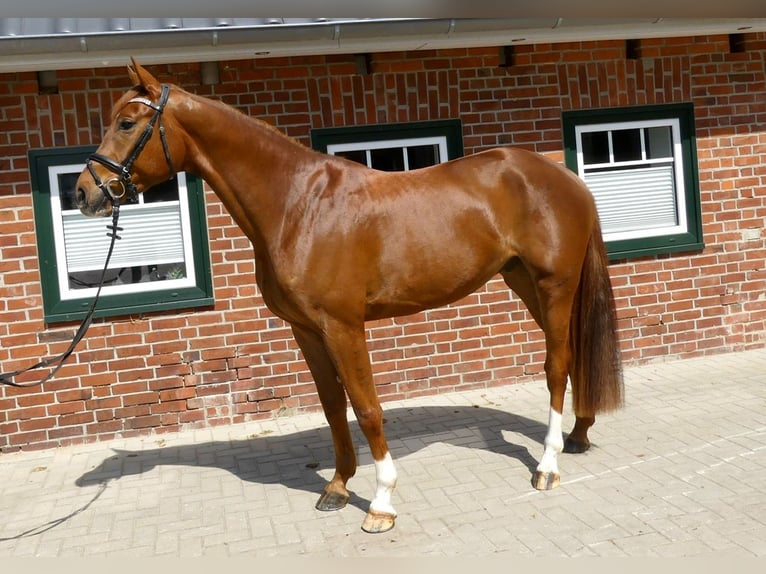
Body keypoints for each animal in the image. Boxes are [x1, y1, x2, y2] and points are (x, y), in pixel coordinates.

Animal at [73, 62, 624, 536]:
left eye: (126, 122)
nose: (84, 193)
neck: (298, 205)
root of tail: (565, 177)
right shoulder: (306, 329)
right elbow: (334, 408)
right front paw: (338, 487)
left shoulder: (343, 326)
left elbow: (367, 407)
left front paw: (381, 503)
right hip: (523, 282)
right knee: (572, 355)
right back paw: (579, 434)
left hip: (553, 285)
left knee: (556, 365)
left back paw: (548, 464)